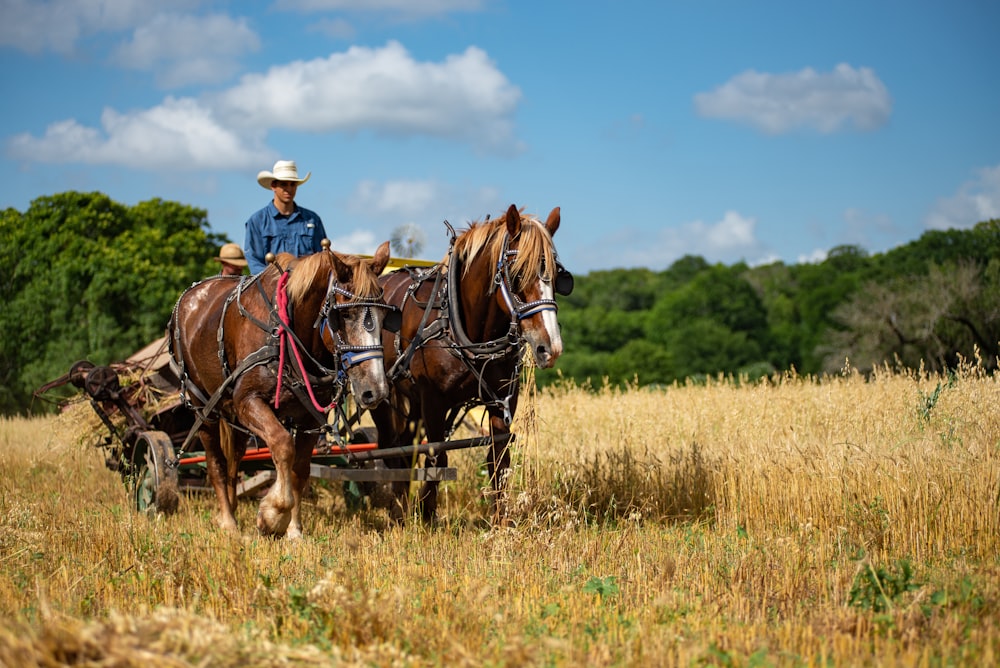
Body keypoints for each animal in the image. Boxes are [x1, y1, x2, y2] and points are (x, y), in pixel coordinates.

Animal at [170, 240, 392, 536]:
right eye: (343, 314)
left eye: (384, 314)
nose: (375, 390)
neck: (285, 331)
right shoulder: (248, 401)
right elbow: (283, 445)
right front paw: (273, 514)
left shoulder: (310, 417)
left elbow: (300, 469)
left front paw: (294, 530)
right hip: (203, 408)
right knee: (216, 462)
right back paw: (228, 521)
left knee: (234, 460)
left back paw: (233, 507)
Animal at [372, 204, 572, 520]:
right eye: (517, 273)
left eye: (557, 274)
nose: (550, 347)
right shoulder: (433, 399)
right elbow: (437, 456)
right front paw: (427, 515)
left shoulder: (502, 399)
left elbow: (498, 458)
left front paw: (501, 520)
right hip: (379, 393)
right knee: (390, 446)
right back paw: (399, 508)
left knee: (404, 445)